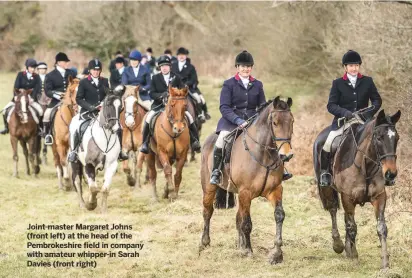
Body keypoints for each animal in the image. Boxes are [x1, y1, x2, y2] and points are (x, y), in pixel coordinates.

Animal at [199, 96, 292, 264]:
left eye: (292, 121)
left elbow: (279, 215)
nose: (286, 155)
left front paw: (276, 253)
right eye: (275, 122)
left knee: (237, 218)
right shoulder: (245, 193)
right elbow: (247, 223)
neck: (263, 154)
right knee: (207, 212)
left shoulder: (275, 190)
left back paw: (239, 246)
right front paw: (248, 250)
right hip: (209, 187)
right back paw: (205, 243)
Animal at [314, 109, 400, 270]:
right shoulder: (347, 197)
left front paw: (385, 263)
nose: (391, 174)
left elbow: (381, 227)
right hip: (327, 188)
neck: (365, 166)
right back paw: (338, 244)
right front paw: (354, 258)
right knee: (333, 210)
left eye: (396, 138)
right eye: (379, 138)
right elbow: (352, 227)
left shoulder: (379, 197)